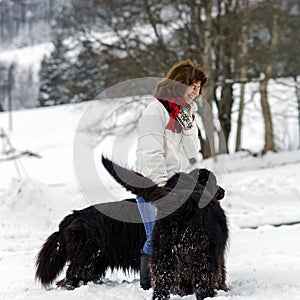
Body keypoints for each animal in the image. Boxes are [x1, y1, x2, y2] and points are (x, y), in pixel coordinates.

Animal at [34, 157, 227, 300]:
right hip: (88, 257)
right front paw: (223, 288)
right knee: (71, 276)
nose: (222, 191)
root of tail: (72, 217)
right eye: (213, 182)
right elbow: (220, 271)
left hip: (97, 259)